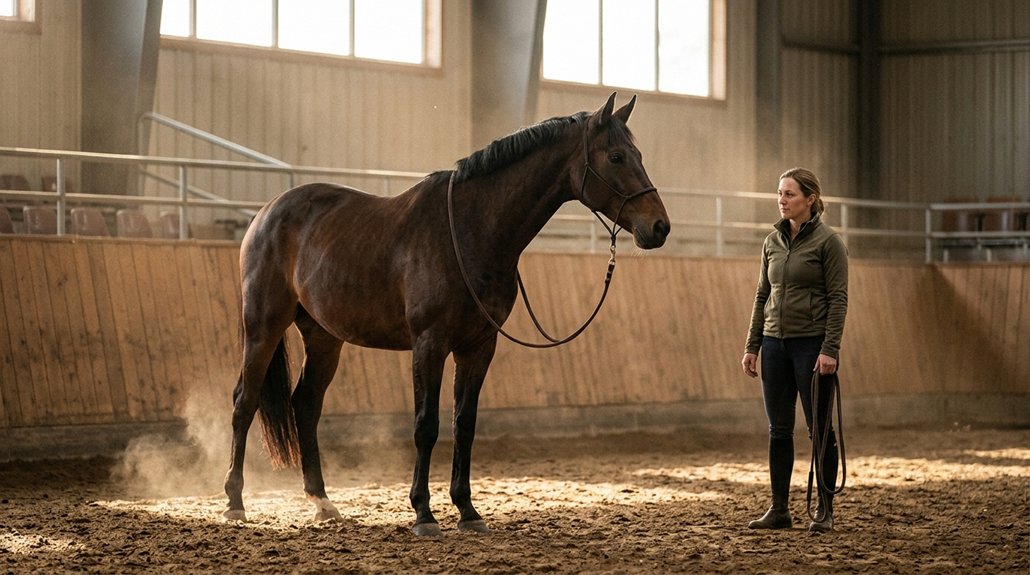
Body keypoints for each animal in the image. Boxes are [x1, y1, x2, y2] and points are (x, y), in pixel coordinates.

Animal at [222, 92, 671, 536]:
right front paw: (424, 513)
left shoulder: (479, 347)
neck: (473, 231)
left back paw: (322, 502)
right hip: (263, 326)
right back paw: (235, 503)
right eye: (616, 157)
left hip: (324, 337)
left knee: (306, 405)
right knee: (245, 401)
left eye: (639, 155)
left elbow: (464, 424)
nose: (659, 227)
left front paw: (468, 510)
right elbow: (426, 425)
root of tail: (266, 213)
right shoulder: (430, 344)